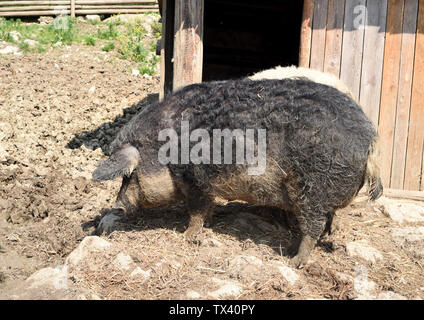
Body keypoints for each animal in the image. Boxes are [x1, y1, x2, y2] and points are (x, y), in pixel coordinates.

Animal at [93, 77, 384, 268]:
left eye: (129, 175)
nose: (117, 206)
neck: (163, 150)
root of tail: (370, 140)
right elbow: (206, 209)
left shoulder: (196, 181)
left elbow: (196, 210)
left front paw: (187, 236)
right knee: (326, 222)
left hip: (312, 188)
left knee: (314, 226)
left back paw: (293, 261)